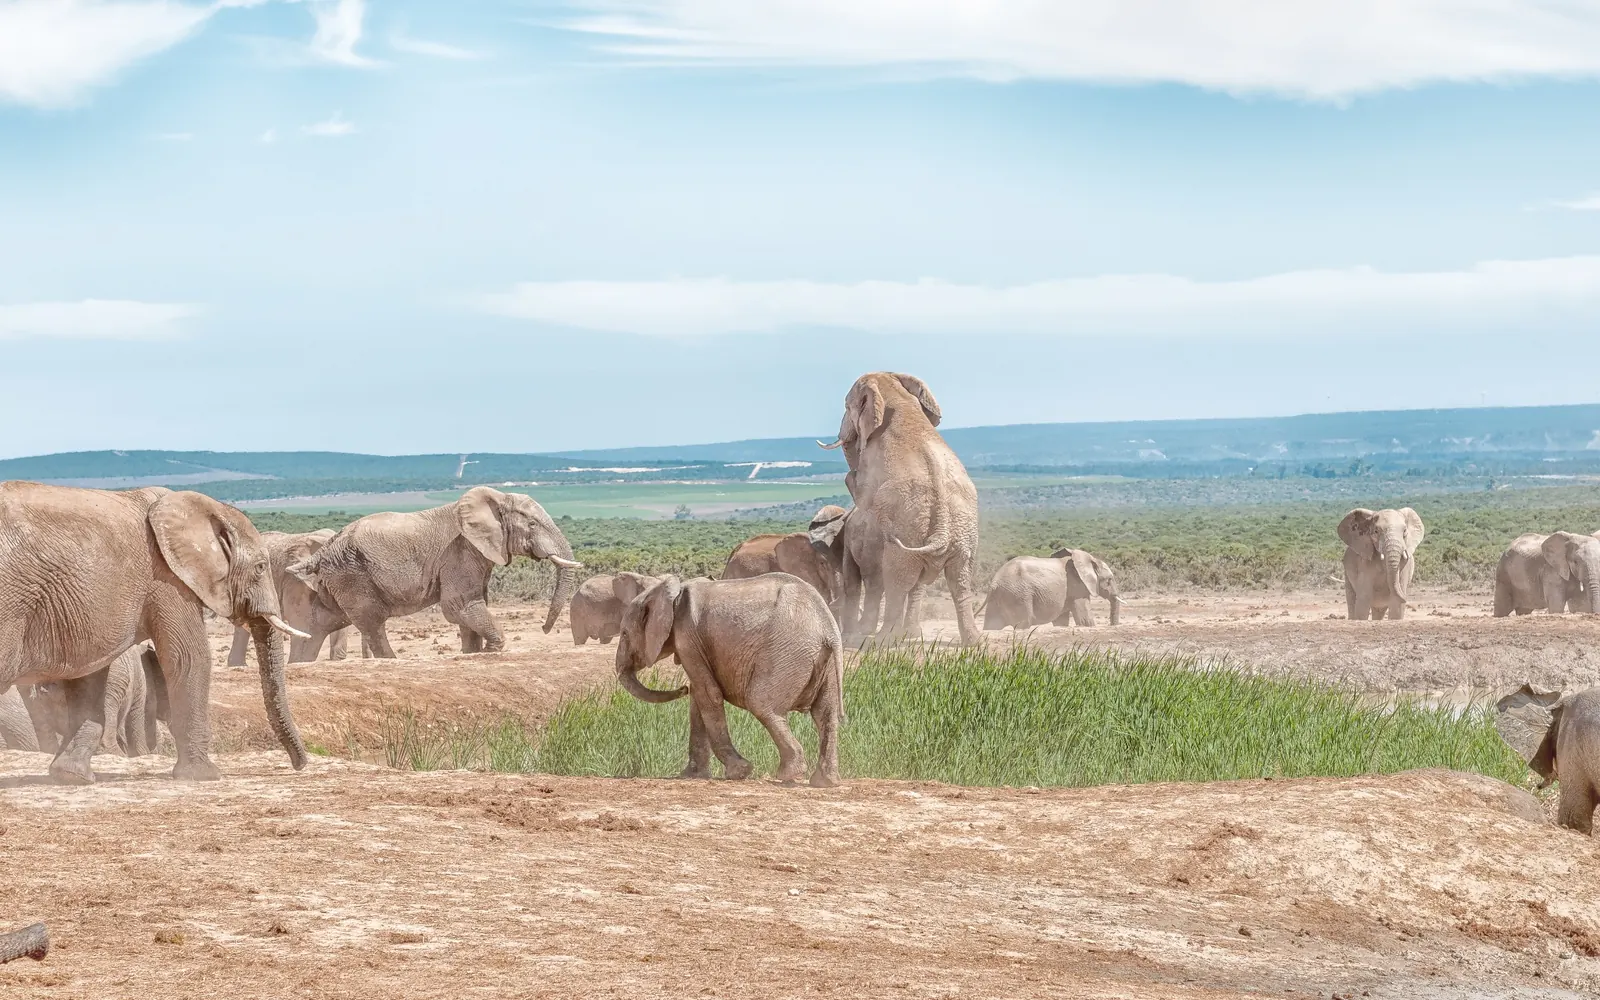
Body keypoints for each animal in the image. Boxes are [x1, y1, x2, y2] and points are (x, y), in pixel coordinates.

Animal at [0, 481, 307, 782]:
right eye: (260, 568)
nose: (299, 765)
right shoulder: (168, 580)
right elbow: (189, 657)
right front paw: (204, 775)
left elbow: (91, 673)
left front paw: (72, 775)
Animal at [288, 486, 582, 658]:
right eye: (532, 524)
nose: (544, 628)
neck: (495, 500)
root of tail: (325, 548)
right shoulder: (460, 550)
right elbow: (459, 605)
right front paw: (491, 650)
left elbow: (472, 605)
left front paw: (472, 652)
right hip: (350, 573)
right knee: (372, 622)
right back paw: (392, 660)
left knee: (323, 621)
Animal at [615, 573, 845, 787]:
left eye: (625, 634)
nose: (682, 688)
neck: (670, 591)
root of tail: (828, 629)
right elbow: (698, 698)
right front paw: (692, 775)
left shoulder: (687, 638)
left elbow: (708, 693)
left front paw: (738, 772)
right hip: (823, 661)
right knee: (826, 714)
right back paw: (825, 781)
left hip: (788, 653)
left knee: (762, 705)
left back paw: (788, 775)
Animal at [819, 372, 980, 645]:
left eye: (847, 407)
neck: (896, 397)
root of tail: (942, 528)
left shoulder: (871, 462)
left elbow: (860, 491)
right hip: (961, 532)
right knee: (960, 580)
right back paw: (972, 641)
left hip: (908, 531)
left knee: (897, 578)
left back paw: (883, 640)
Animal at [980, 549, 1121, 631]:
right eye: (1109, 580)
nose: (1112, 625)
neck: (1090, 560)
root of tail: (994, 582)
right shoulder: (1077, 586)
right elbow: (1085, 619)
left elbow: (1061, 620)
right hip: (1019, 594)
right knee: (1024, 622)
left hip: (1002, 596)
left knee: (992, 625)